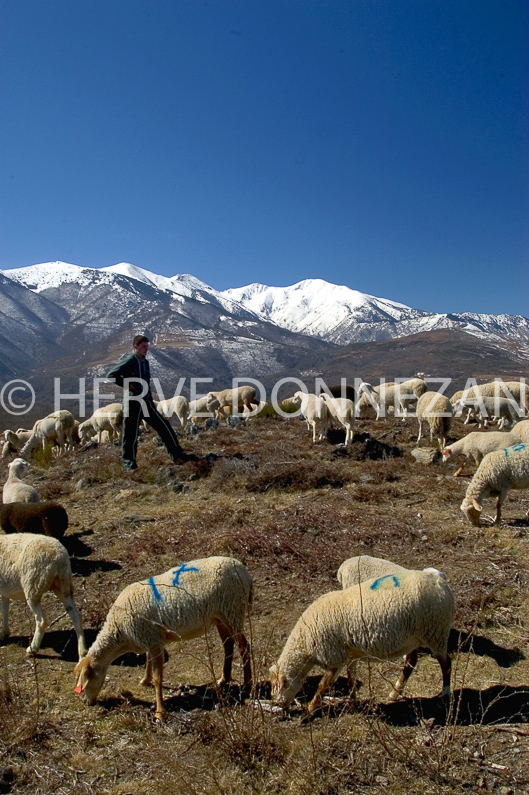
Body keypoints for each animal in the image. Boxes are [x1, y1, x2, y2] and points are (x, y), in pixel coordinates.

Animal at [74, 560, 254, 720]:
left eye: (85, 681)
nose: (85, 702)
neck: (119, 632)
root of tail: (245, 571)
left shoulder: (153, 640)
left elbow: (158, 678)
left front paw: (159, 713)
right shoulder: (149, 638)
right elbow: (148, 661)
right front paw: (144, 680)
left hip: (233, 610)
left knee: (244, 646)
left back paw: (247, 686)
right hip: (220, 616)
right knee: (228, 645)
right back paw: (224, 679)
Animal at [270, 568, 452, 720]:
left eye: (276, 684)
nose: (276, 704)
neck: (306, 644)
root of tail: (439, 578)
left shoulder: (334, 656)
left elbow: (322, 686)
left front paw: (307, 713)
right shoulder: (349, 655)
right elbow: (351, 680)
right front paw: (352, 704)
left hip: (436, 632)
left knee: (446, 664)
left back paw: (445, 696)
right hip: (414, 639)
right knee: (410, 663)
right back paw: (394, 694)